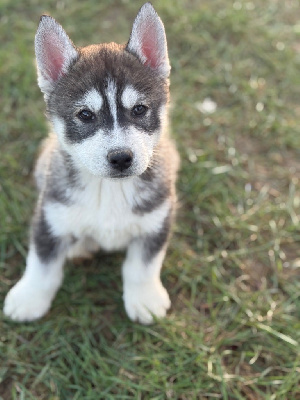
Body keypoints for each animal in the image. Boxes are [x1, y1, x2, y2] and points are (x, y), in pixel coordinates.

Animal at [4, 2, 178, 324]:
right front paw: (29, 297)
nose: (121, 157)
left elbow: (142, 267)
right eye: (85, 114)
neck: (108, 191)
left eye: (139, 109)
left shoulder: (157, 220)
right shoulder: (50, 216)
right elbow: (42, 264)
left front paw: (145, 299)